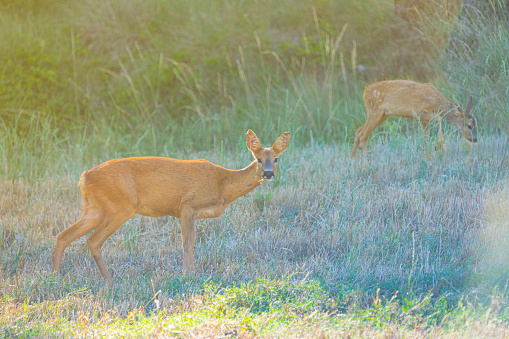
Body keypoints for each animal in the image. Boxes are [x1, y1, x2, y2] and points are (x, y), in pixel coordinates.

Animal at [52, 130, 290, 284]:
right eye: (258, 159)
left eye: (276, 159)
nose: (268, 173)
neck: (223, 184)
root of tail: (84, 177)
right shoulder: (187, 205)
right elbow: (188, 243)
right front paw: (187, 276)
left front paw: (190, 274)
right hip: (120, 207)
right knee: (93, 240)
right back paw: (110, 281)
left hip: (94, 208)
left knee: (64, 235)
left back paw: (54, 277)